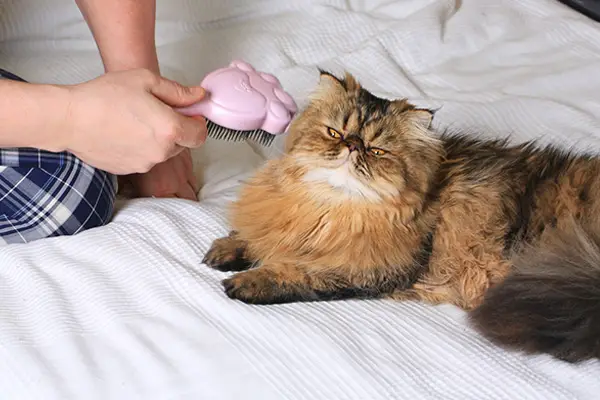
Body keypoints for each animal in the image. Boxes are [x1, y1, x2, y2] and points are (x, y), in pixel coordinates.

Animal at [203, 69, 600, 362]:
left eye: (377, 150)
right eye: (335, 132)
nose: (353, 146)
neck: (332, 209)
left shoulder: (371, 267)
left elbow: (298, 271)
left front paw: (249, 281)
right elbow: (255, 235)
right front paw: (228, 249)